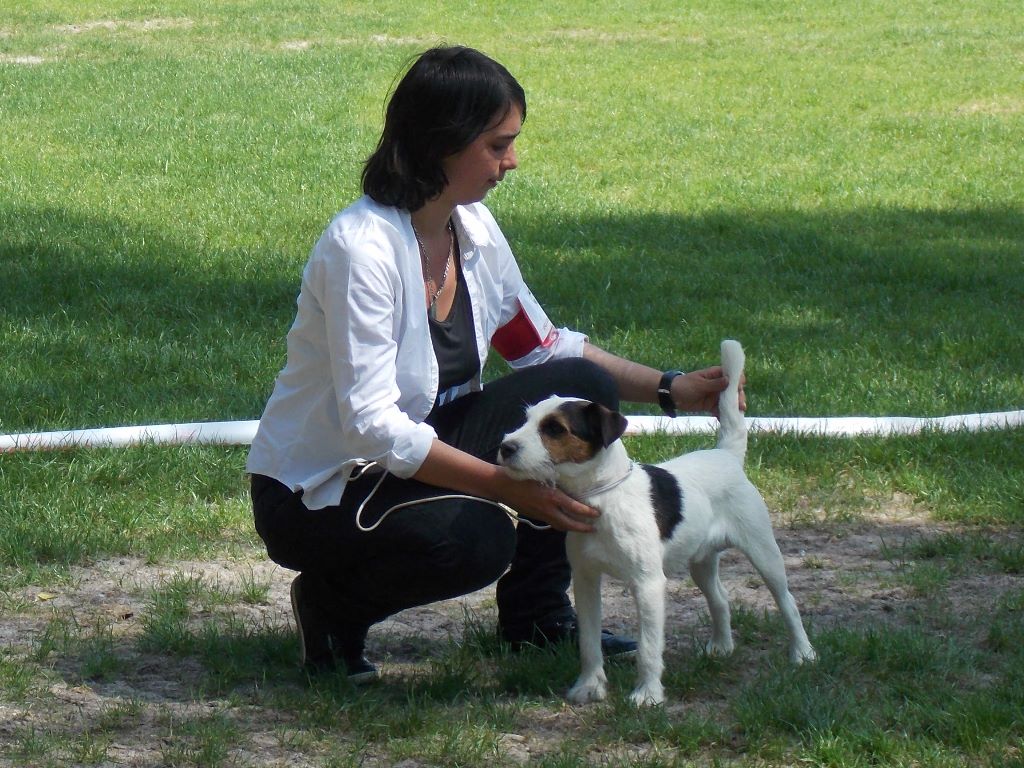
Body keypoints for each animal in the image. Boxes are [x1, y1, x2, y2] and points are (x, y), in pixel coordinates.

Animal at [497, 340, 816, 706]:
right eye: (526, 420)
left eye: (554, 429)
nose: (505, 447)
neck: (604, 496)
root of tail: (727, 456)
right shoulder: (586, 580)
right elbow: (589, 643)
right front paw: (590, 686)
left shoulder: (647, 584)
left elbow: (649, 647)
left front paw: (647, 695)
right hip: (701, 561)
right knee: (720, 599)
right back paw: (722, 647)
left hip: (763, 552)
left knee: (787, 603)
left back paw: (803, 653)